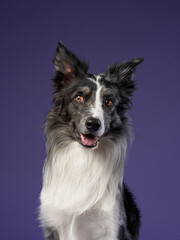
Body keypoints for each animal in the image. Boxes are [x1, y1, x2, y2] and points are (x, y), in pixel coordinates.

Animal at [39, 42, 143, 239]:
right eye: (78, 98)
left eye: (108, 102)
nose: (93, 124)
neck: (85, 157)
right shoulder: (55, 225)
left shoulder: (112, 226)